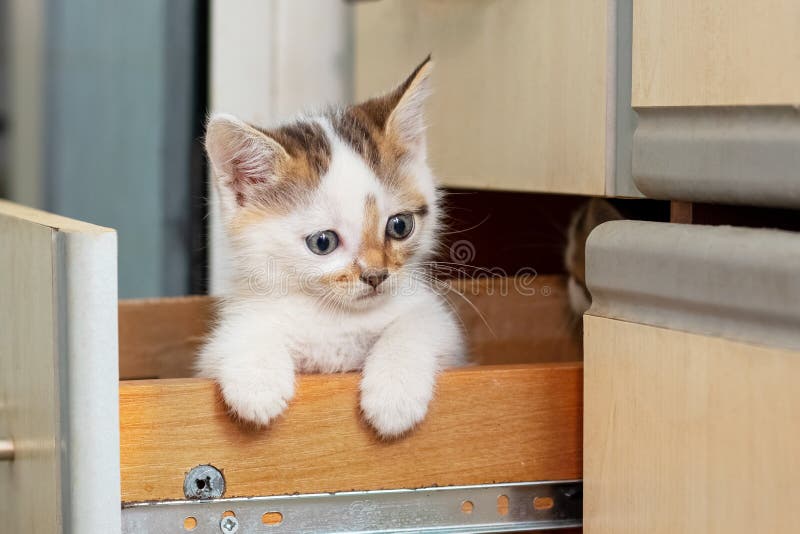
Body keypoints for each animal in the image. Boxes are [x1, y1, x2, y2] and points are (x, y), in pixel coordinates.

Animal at [196, 58, 466, 440]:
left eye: (399, 226)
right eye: (323, 242)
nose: (376, 276)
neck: (336, 318)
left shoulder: (443, 330)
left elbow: (419, 323)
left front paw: (395, 394)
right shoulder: (230, 330)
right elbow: (242, 332)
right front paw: (257, 382)